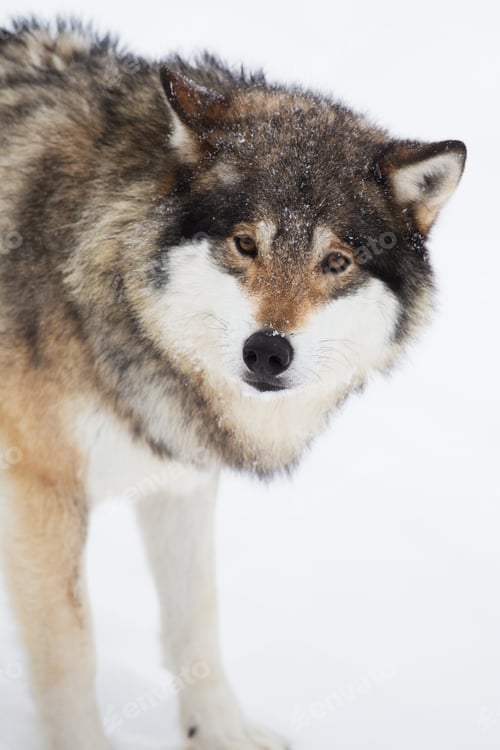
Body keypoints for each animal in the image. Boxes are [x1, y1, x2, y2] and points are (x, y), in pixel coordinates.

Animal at [0, 18, 465, 750]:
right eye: (246, 244)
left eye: (336, 262)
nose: (268, 352)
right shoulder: (40, 490)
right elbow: (71, 656)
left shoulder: (181, 478)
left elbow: (198, 623)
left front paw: (221, 734)